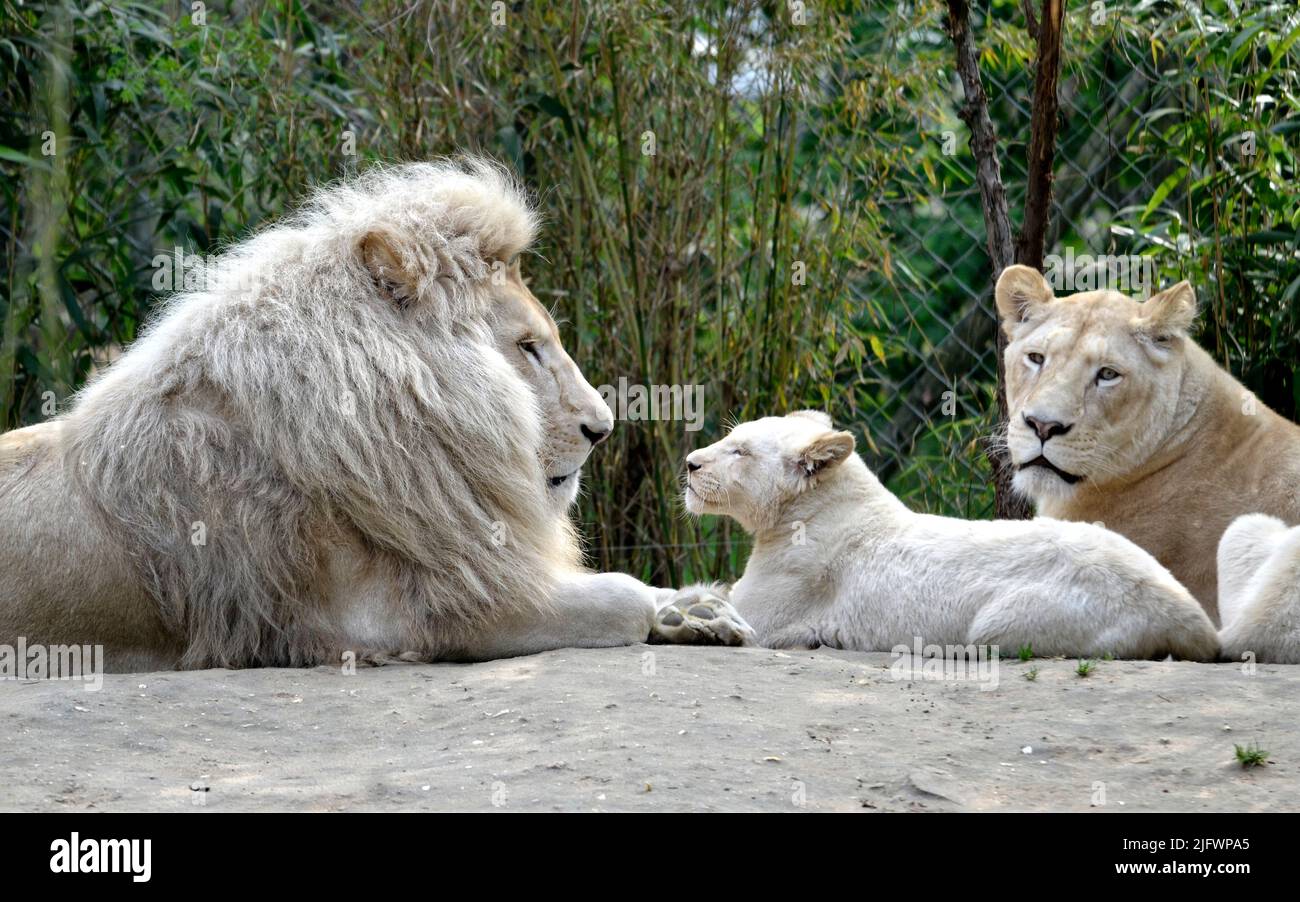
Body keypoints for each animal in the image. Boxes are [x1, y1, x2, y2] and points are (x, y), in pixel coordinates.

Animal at [0, 159, 743, 675]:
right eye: (528, 347)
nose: (602, 428)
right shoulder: (403, 617)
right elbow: (618, 596)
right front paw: (672, 611)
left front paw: (696, 608)